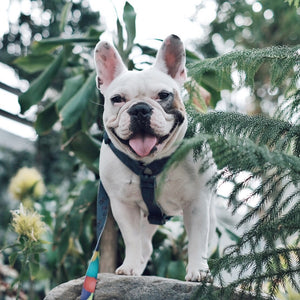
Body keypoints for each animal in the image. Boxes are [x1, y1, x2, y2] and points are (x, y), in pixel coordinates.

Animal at [94, 34, 216, 282]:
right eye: (117, 99)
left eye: (163, 95)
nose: (140, 109)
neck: (149, 165)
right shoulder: (123, 205)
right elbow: (132, 240)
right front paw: (129, 266)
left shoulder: (197, 202)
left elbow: (198, 240)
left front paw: (198, 271)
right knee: (145, 246)